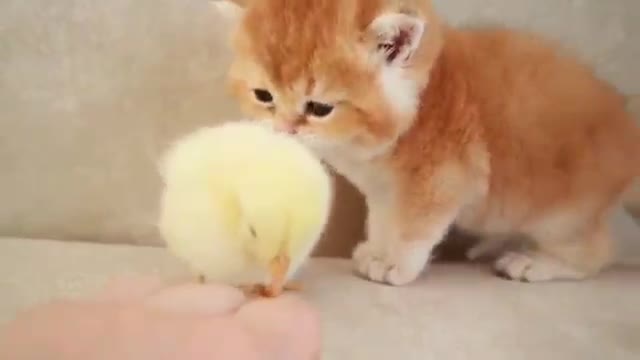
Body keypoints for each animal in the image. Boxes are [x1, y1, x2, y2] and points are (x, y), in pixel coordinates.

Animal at [216, 0, 640, 284]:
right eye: (263, 96)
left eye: (319, 108)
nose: (285, 129)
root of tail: (629, 128)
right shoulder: (384, 191)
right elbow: (382, 221)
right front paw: (376, 250)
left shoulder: (441, 180)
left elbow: (413, 228)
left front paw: (396, 264)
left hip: (560, 214)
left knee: (597, 252)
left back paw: (534, 262)